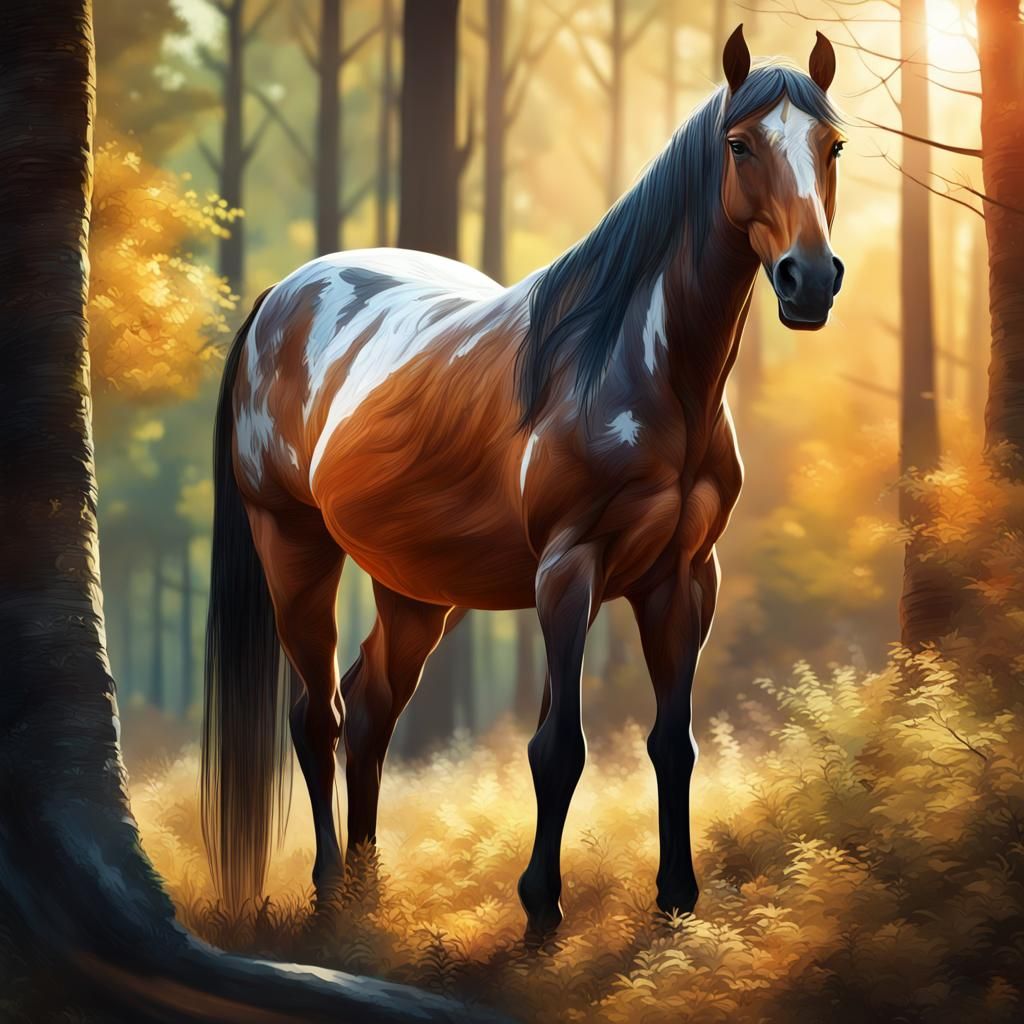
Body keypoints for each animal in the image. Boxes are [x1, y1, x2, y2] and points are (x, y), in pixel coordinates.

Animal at [201, 25, 845, 938]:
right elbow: (558, 746)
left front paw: (676, 901)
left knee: (370, 712)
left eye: (832, 145)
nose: (809, 279)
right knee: (318, 716)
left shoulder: (685, 579)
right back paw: (329, 888)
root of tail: (282, 296)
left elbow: (672, 740)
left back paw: (367, 895)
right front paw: (542, 907)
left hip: (416, 588)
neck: (639, 367)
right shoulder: (568, 572)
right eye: (741, 144)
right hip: (293, 547)